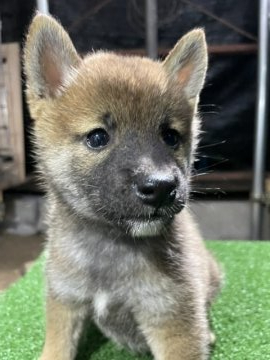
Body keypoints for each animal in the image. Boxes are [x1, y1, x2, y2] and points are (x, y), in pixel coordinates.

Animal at [23, 13, 221, 360]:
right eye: (97, 137)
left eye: (170, 137)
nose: (161, 186)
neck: (109, 246)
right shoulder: (65, 299)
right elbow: (56, 348)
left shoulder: (172, 314)